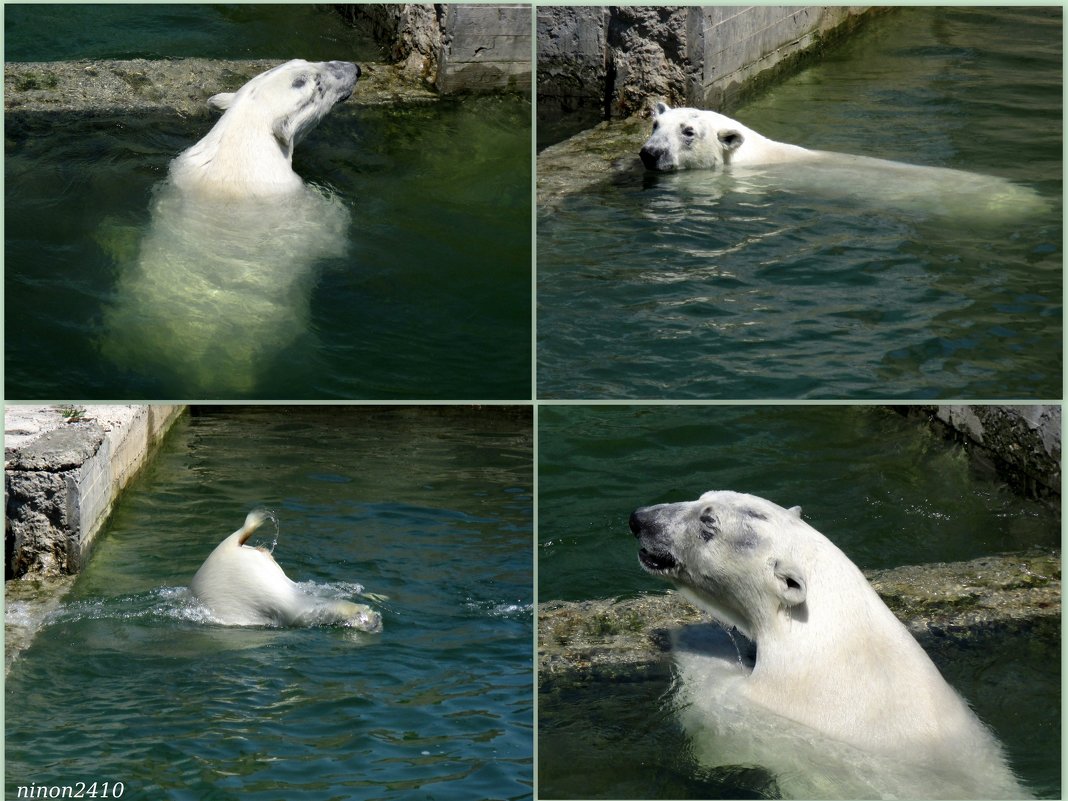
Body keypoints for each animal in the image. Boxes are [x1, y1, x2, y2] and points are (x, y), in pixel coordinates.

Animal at [100, 58, 358, 395]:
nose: (355, 69)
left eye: (307, 63)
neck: (237, 154)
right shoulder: (302, 209)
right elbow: (333, 231)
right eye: (317, 85)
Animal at [627, 493, 1029, 798]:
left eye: (708, 522)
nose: (639, 519)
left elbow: (713, 706)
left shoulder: (776, 707)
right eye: (702, 498)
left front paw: (694, 632)